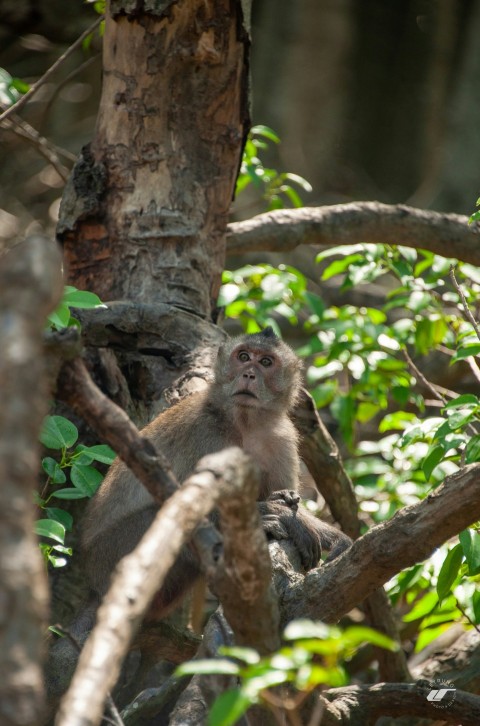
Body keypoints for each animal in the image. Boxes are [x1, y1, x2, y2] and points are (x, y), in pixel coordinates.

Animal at [79, 330, 348, 620]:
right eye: (243, 357)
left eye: (266, 362)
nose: (248, 374)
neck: (245, 423)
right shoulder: (205, 435)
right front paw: (278, 515)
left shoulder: (282, 438)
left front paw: (331, 535)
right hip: (111, 553)